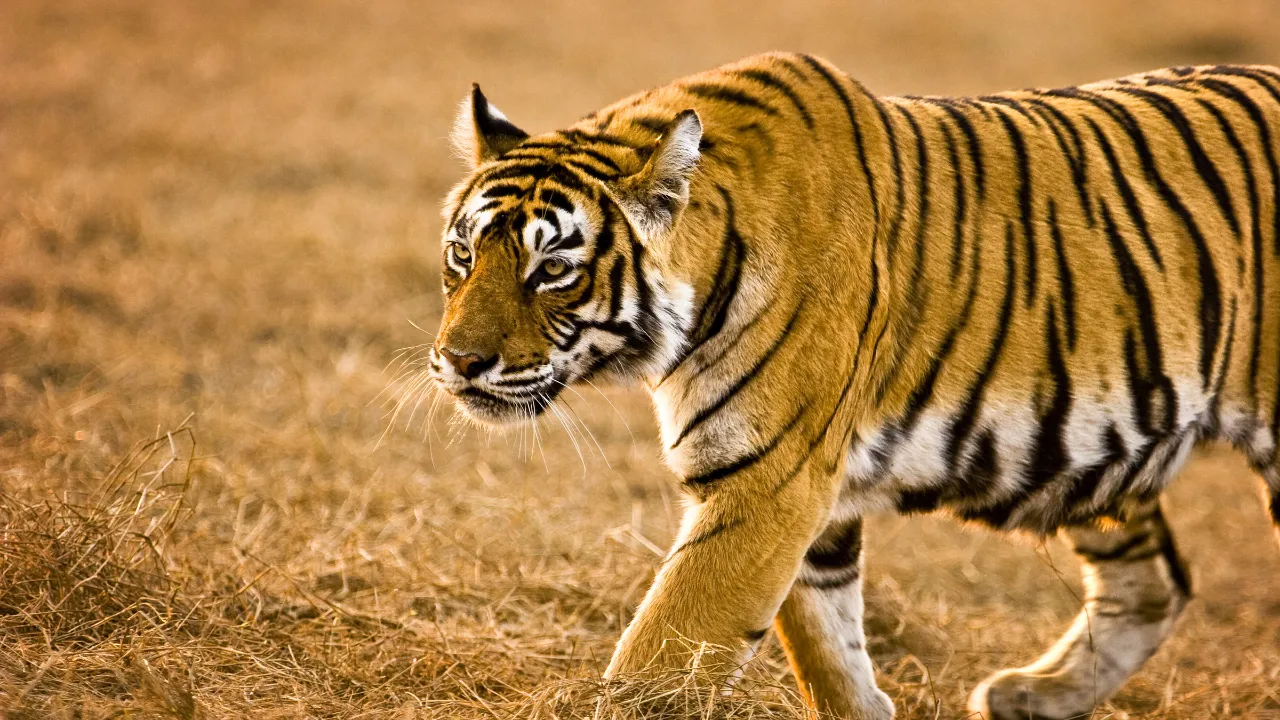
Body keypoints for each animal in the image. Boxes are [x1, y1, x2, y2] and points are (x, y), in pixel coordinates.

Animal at [424, 52, 1280, 719]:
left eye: (552, 271)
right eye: (463, 255)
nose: (458, 362)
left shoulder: (767, 481)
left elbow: (663, 646)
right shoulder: (804, 496)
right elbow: (828, 646)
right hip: (1100, 462)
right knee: (1155, 582)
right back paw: (1031, 695)